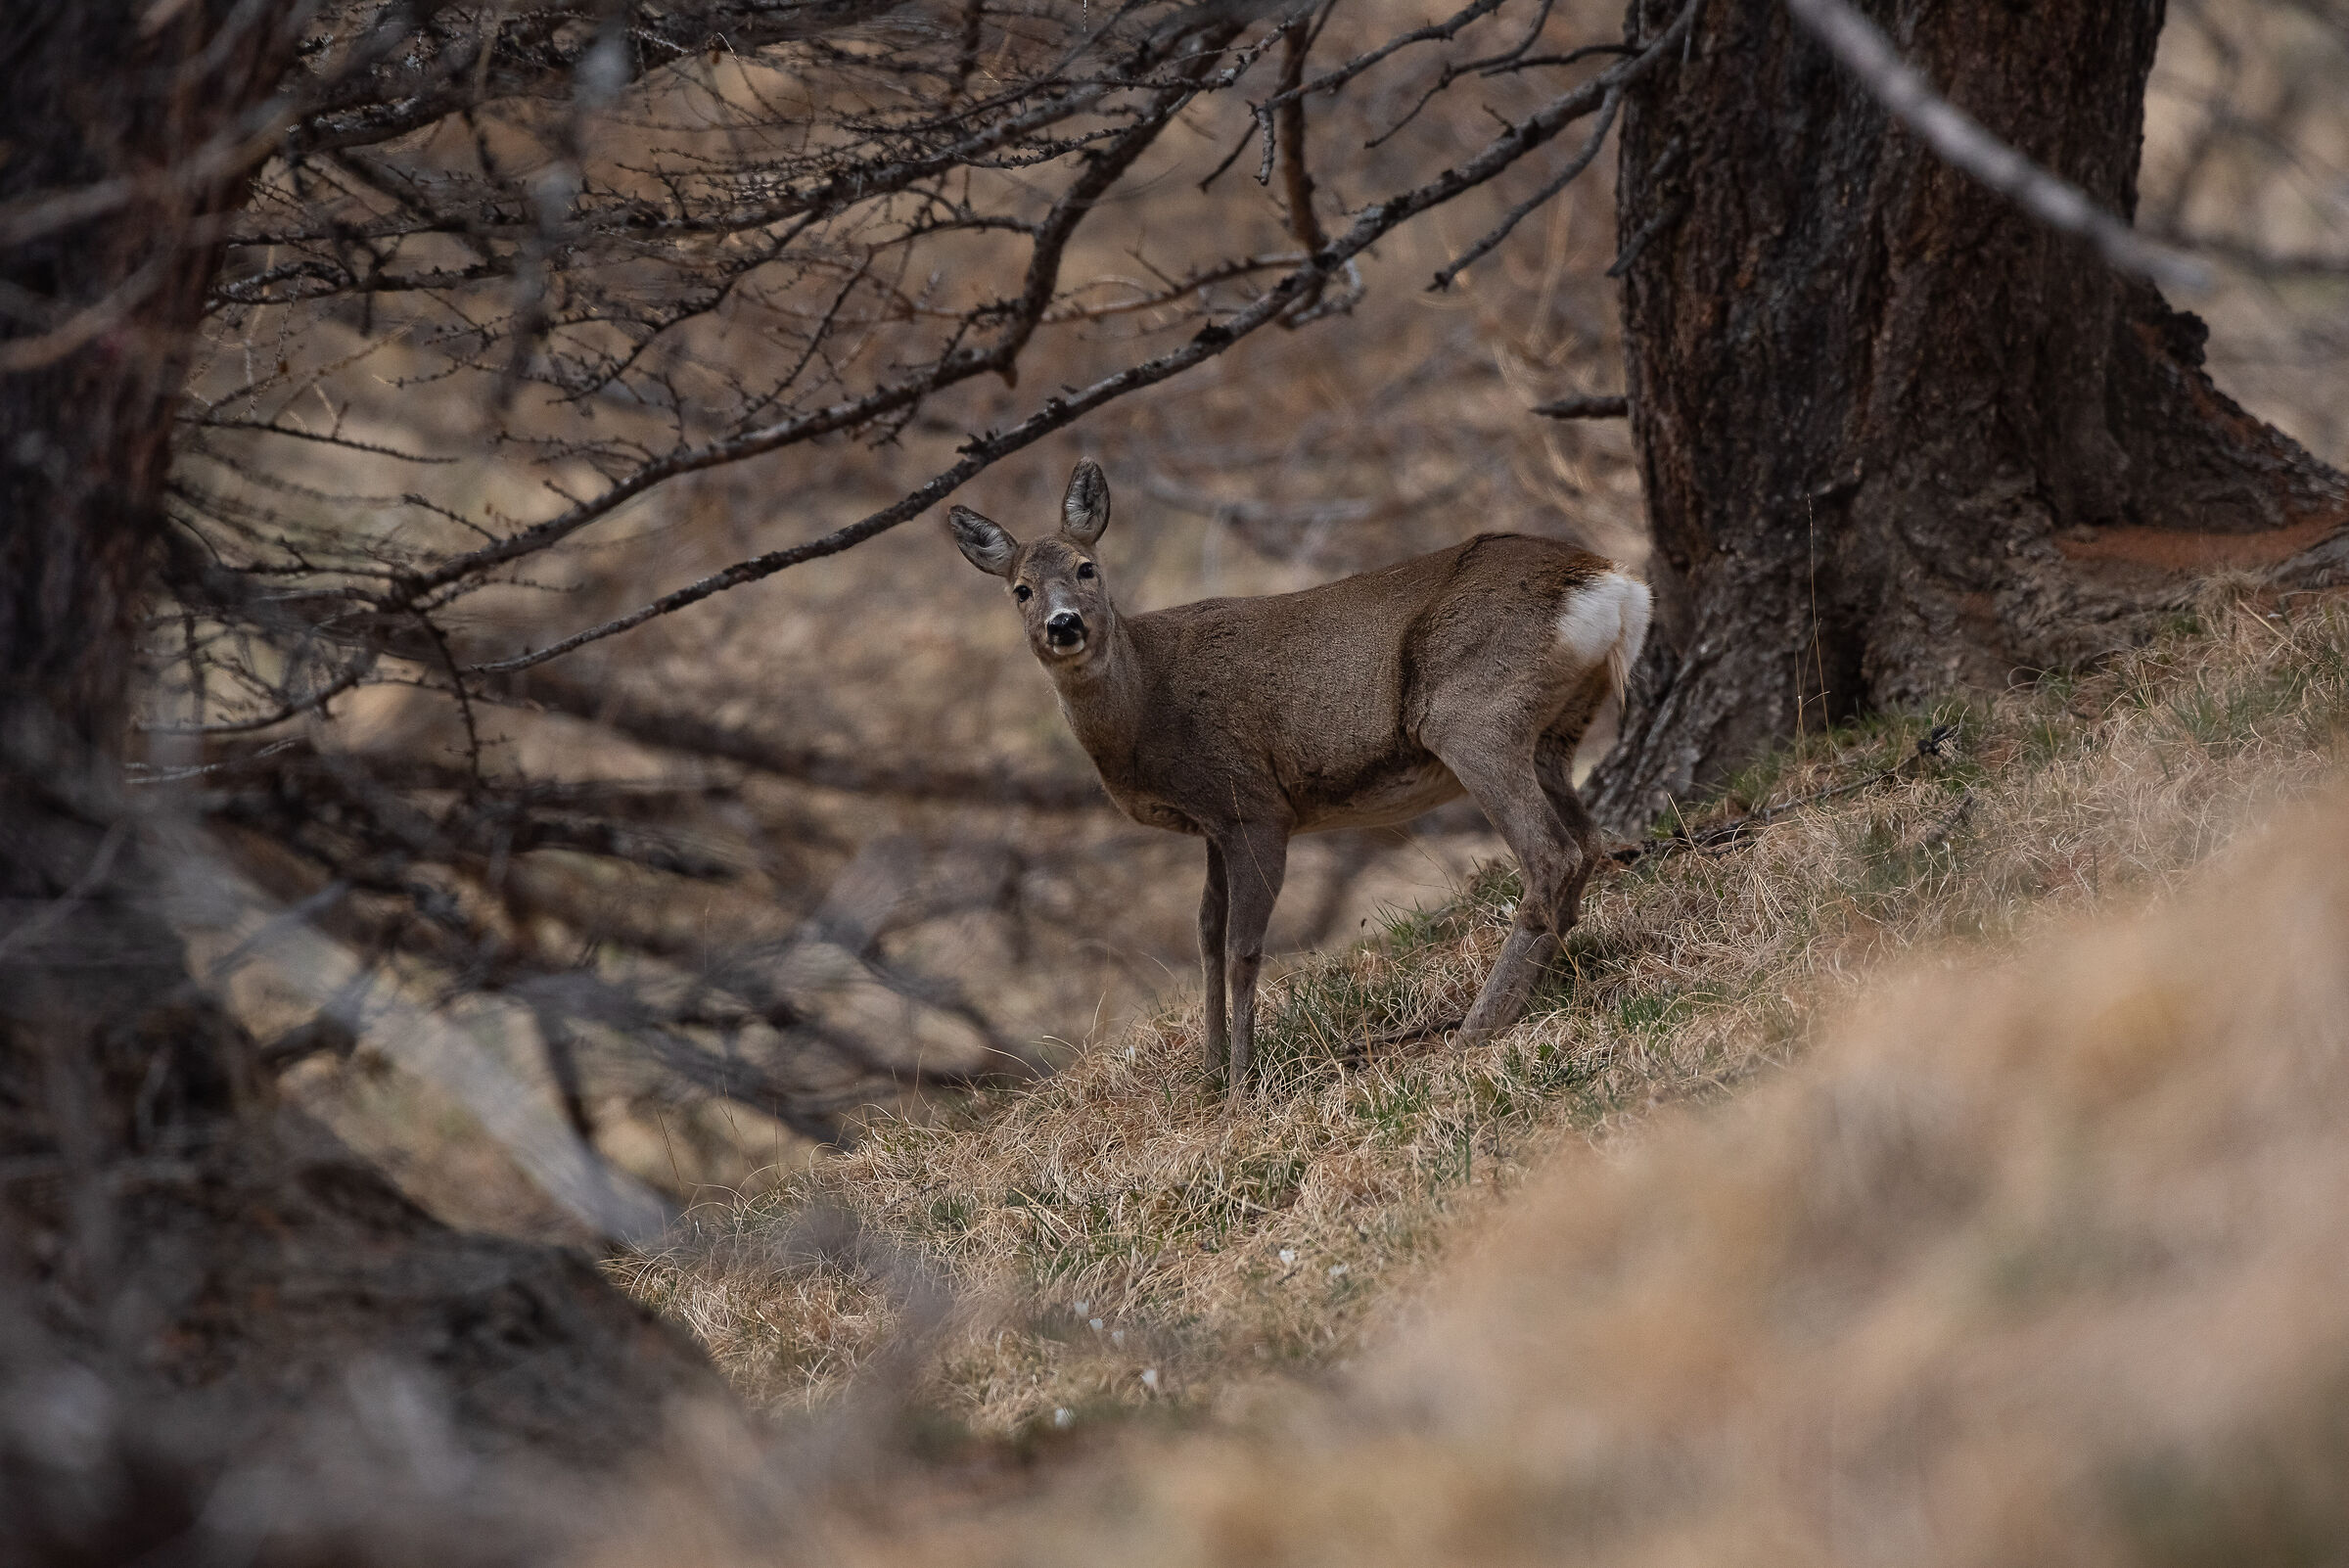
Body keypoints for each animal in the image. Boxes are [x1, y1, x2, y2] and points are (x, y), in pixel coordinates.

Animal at [949, 460, 1650, 1102]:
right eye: (1020, 589)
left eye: (1086, 568)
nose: (1064, 624)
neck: (1146, 704)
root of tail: (1611, 583)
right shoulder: (1214, 823)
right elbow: (1206, 936)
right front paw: (1208, 1075)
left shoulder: (1255, 805)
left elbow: (1243, 947)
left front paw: (1240, 1084)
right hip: (1553, 733)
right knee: (1589, 843)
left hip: (1473, 717)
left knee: (1551, 854)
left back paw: (1476, 1029)